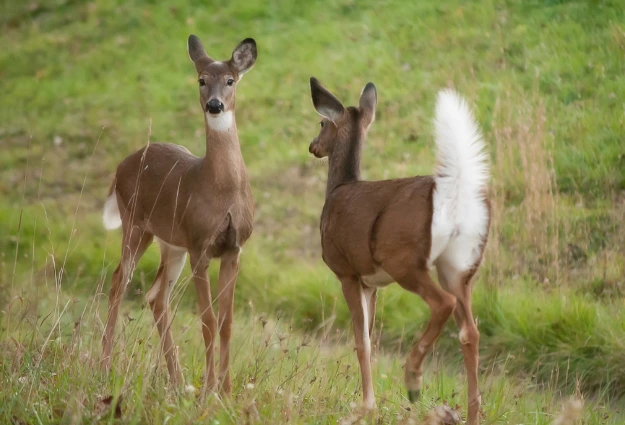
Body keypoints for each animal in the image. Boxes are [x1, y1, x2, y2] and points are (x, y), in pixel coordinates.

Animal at [100, 34, 256, 396]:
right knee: (119, 283)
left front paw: (226, 392)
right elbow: (208, 321)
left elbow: (227, 323)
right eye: (201, 80)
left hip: (171, 244)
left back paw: (178, 380)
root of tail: (121, 166)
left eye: (230, 80)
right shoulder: (200, 245)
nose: (215, 105)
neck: (222, 189)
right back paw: (104, 365)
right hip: (136, 224)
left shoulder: (233, 248)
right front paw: (210, 392)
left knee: (157, 297)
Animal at [308, 77, 488, 424]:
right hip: (459, 267)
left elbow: (362, 340)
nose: (312, 146)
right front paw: (368, 401)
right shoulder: (372, 283)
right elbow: (369, 336)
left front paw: (366, 406)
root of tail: (454, 197)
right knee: (470, 332)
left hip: (405, 261)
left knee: (442, 304)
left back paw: (413, 378)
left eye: (322, 123)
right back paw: (471, 413)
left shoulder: (347, 272)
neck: (338, 189)